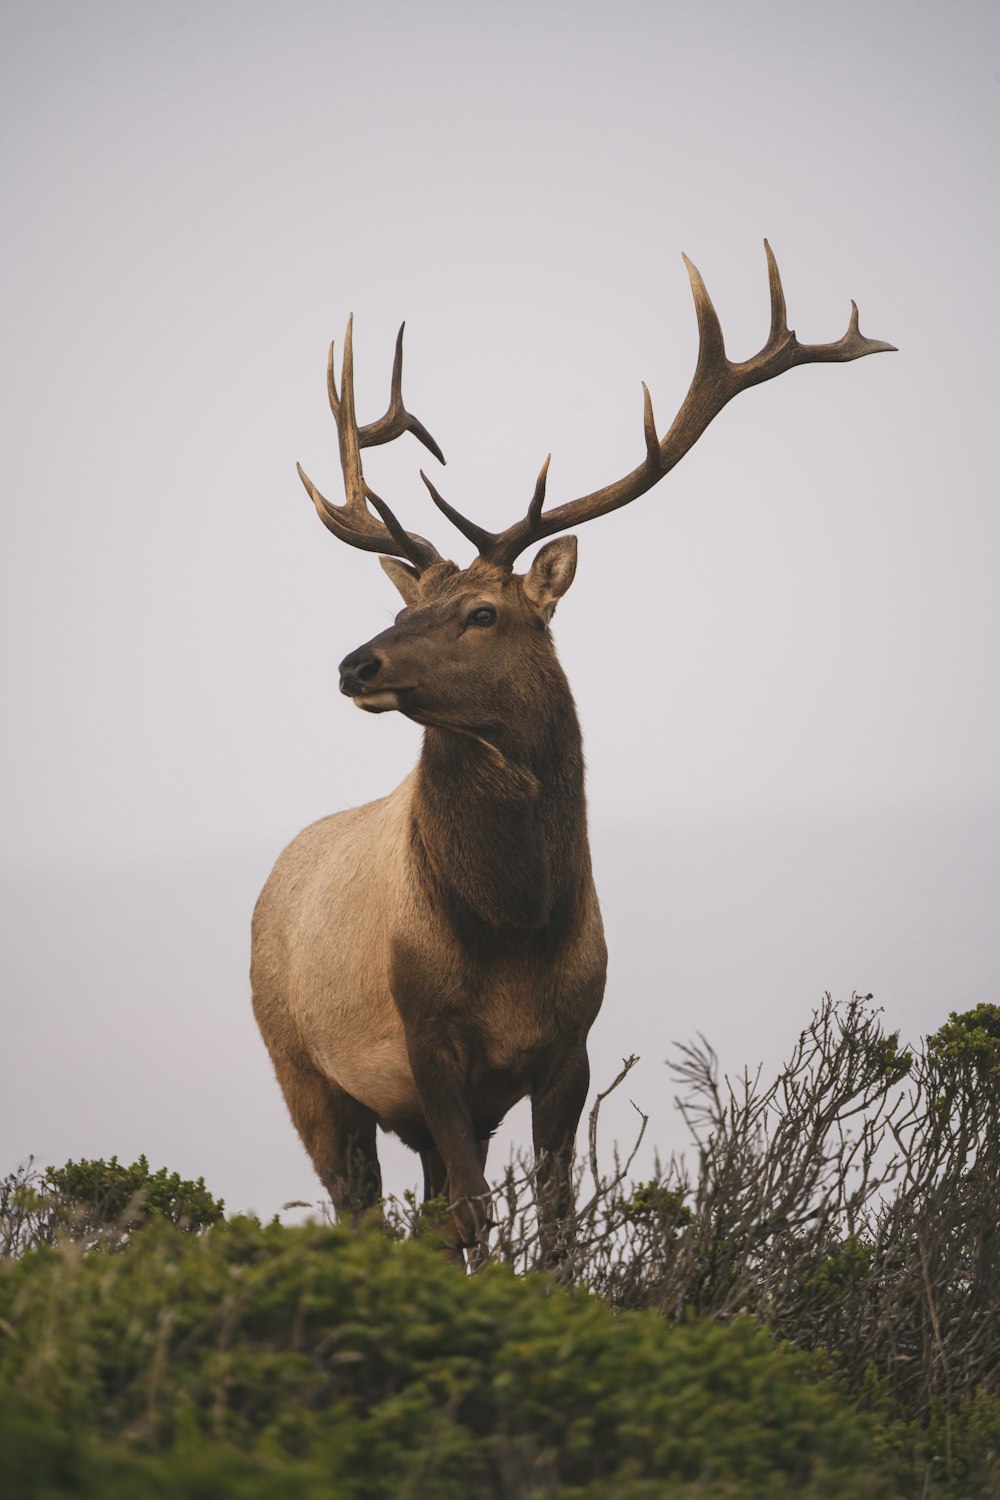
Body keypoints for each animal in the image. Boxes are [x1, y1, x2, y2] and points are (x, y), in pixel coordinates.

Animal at [254, 243, 893, 1254]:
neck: (515, 925)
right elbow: (475, 1215)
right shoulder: (425, 1037)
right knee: (362, 1208)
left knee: (421, 1208)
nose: (356, 663)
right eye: (406, 605)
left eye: (483, 612)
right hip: (301, 1068)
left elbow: (553, 1219)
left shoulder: (572, 1045)